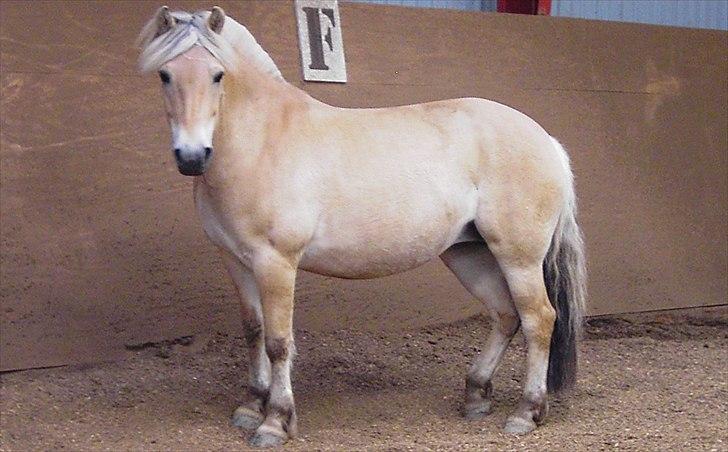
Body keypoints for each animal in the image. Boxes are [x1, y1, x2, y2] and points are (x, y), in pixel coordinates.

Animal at [137, 6, 586, 447]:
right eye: (165, 74)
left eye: (218, 74)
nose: (192, 156)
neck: (262, 142)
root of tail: (546, 140)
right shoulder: (235, 260)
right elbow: (254, 332)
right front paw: (250, 407)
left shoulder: (275, 262)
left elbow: (278, 342)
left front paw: (275, 422)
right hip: (468, 253)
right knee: (505, 315)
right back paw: (476, 395)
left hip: (518, 257)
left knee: (538, 318)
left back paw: (526, 412)